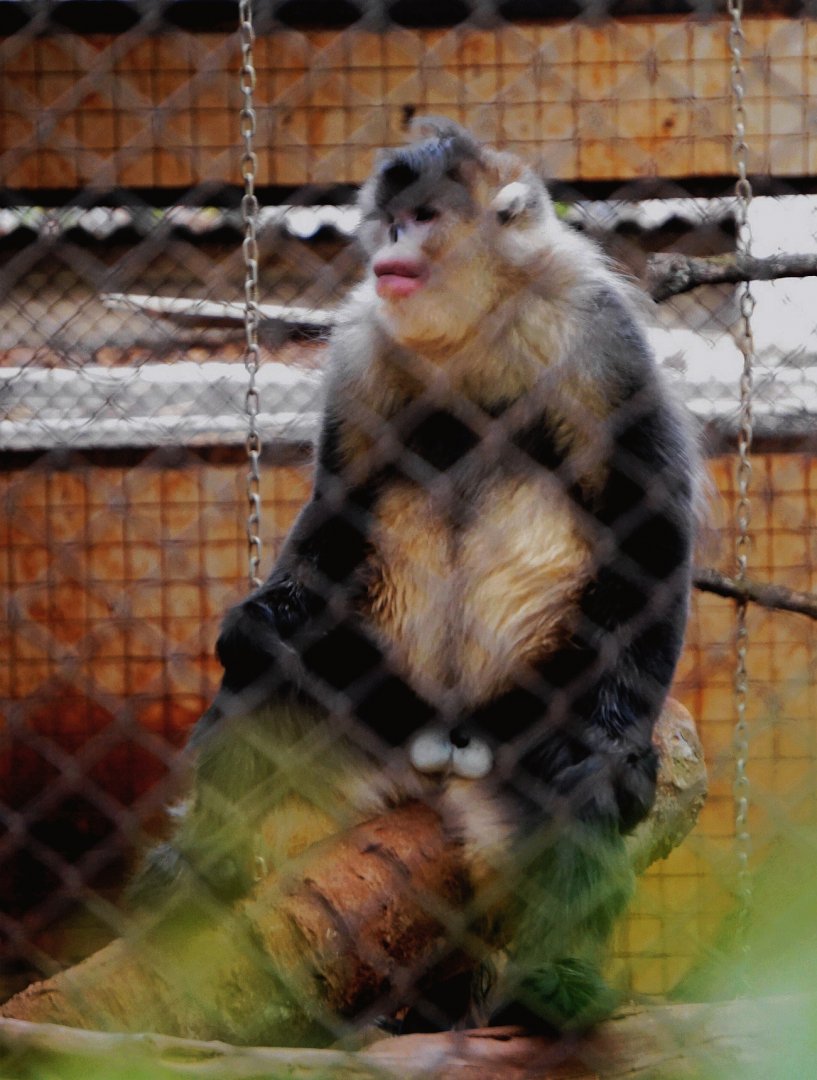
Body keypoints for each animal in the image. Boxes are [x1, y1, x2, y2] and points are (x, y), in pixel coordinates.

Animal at [131, 118, 698, 1035]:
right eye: (391, 219)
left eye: (424, 217)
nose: (392, 245)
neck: (474, 329)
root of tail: (446, 745)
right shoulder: (365, 338)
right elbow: (340, 506)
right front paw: (259, 620)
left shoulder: (597, 329)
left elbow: (644, 525)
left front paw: (616, 747)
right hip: (375, 708)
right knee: (270, 683)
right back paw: (200, 868)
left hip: (526, 711)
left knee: (573, 789)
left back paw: (557, 979)